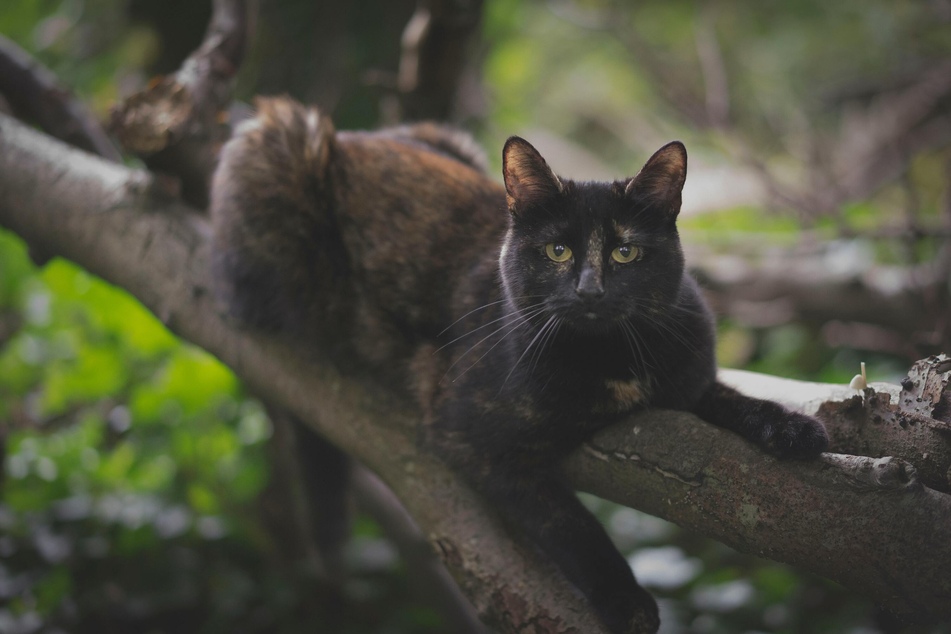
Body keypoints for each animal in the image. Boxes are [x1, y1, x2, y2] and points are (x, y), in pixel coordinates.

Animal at [208, 95, 824, 632]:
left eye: (625, 251)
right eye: (557, 250)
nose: (590, 290)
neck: (612, 355)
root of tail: (347, 136)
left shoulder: (688, 383)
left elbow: (733, 400)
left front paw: (792, 429)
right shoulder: (475, 439)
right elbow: (573, 524)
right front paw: (626, 601)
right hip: (277, 152)